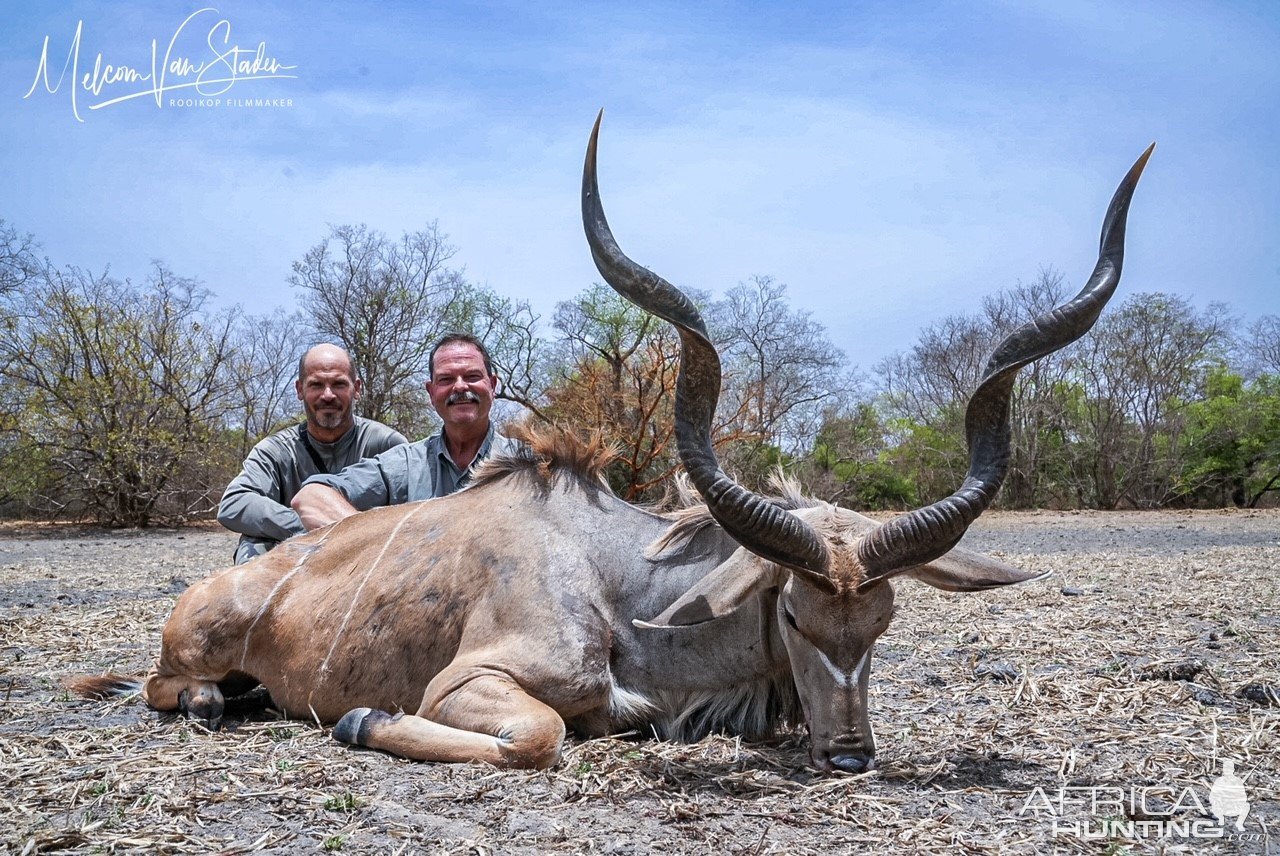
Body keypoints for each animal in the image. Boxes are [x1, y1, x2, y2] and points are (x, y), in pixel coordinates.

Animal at [70, 117, 1152, 772]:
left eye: (881, 623)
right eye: (793, 614)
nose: (848, 752)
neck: (615, 579)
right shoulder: (478, 683)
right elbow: (539, 735)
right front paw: (357, 715)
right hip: (188, 653)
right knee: (172, 691)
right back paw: (217, 699)